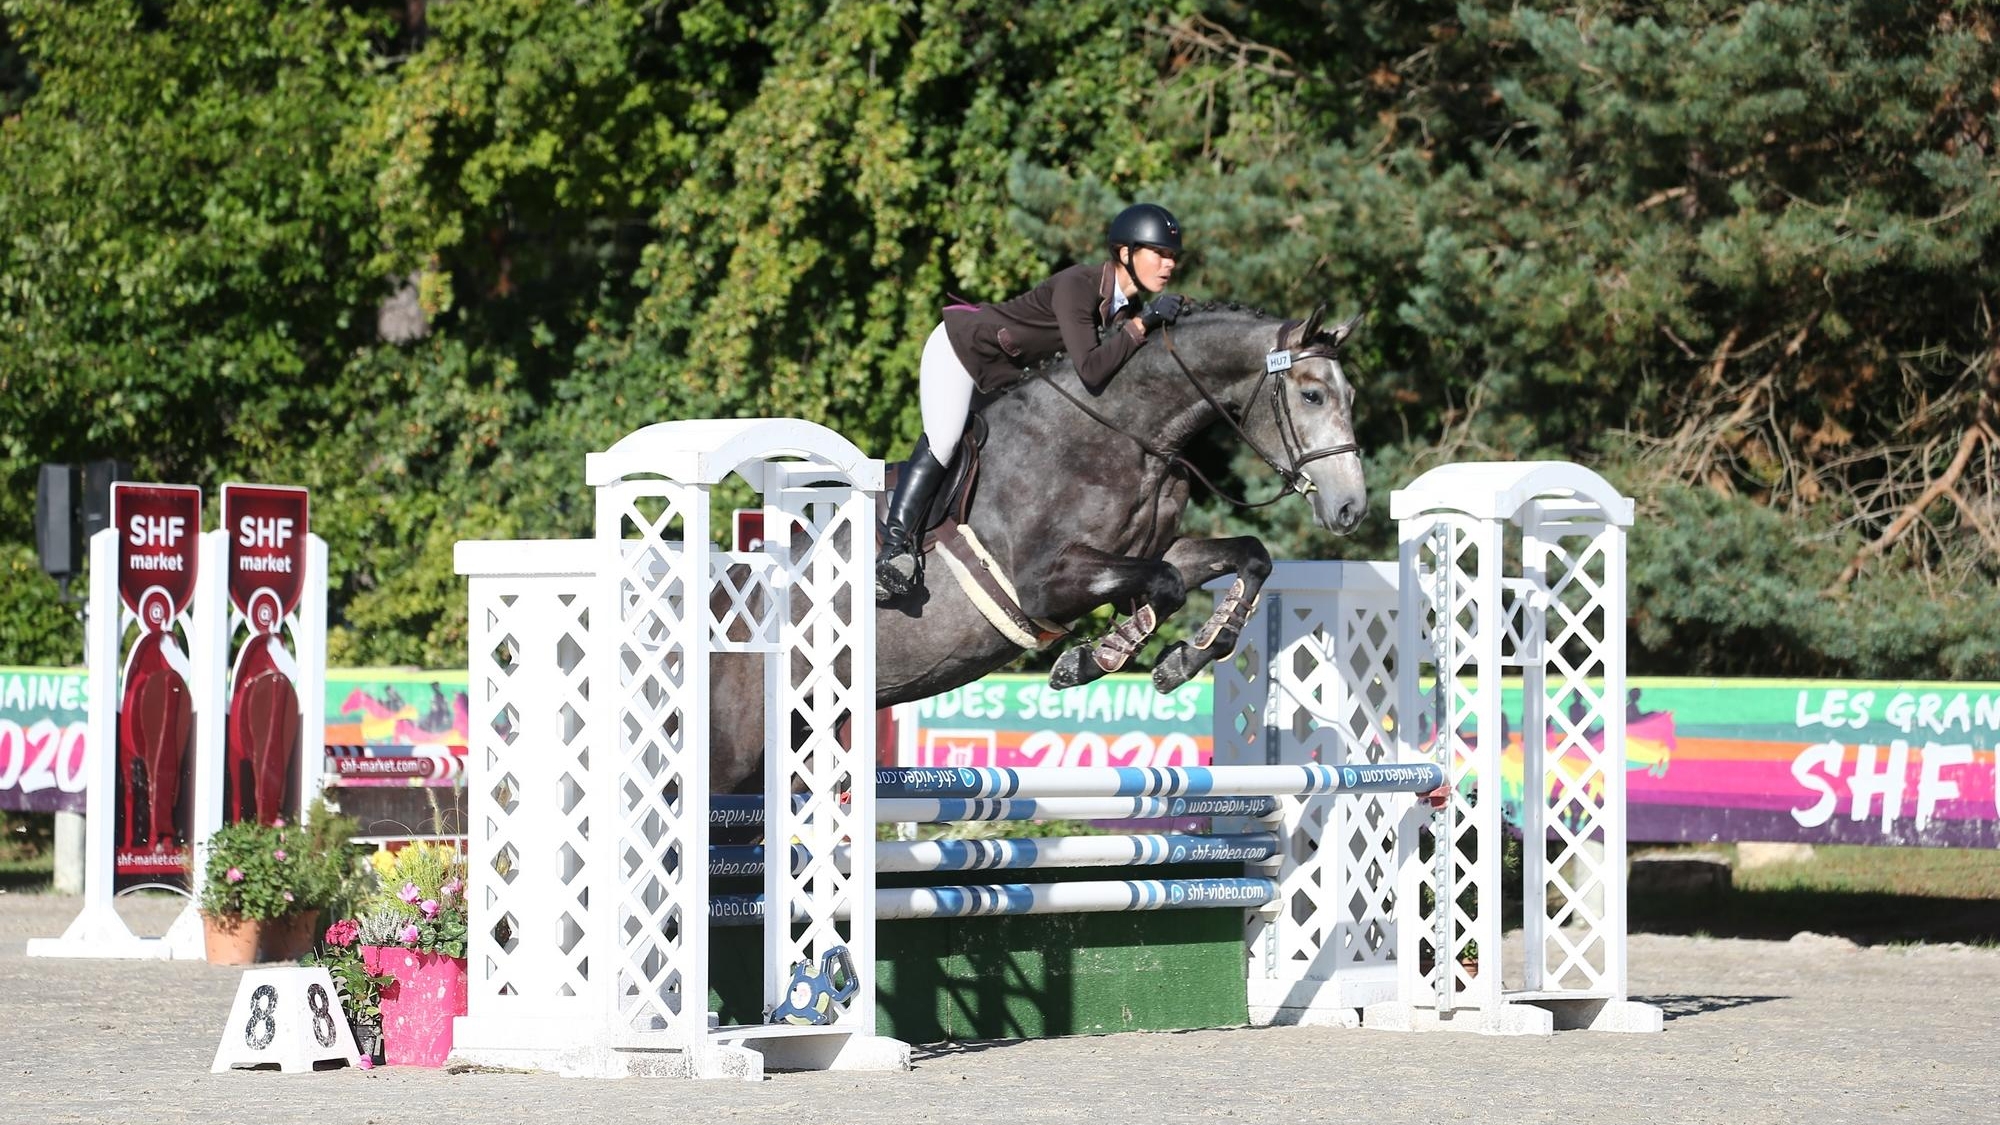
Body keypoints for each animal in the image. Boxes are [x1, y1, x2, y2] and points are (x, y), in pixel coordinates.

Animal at [710, 302, 1367, 795]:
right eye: (1312, 395)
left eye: (1348, 394)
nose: (1350, 509)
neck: (1125, 432)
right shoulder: (1042, 586)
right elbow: (1166, 585)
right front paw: (1096, 658)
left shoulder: (1151, 549)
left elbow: (1244, 557)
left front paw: (1182, 660)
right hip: (730, 763)